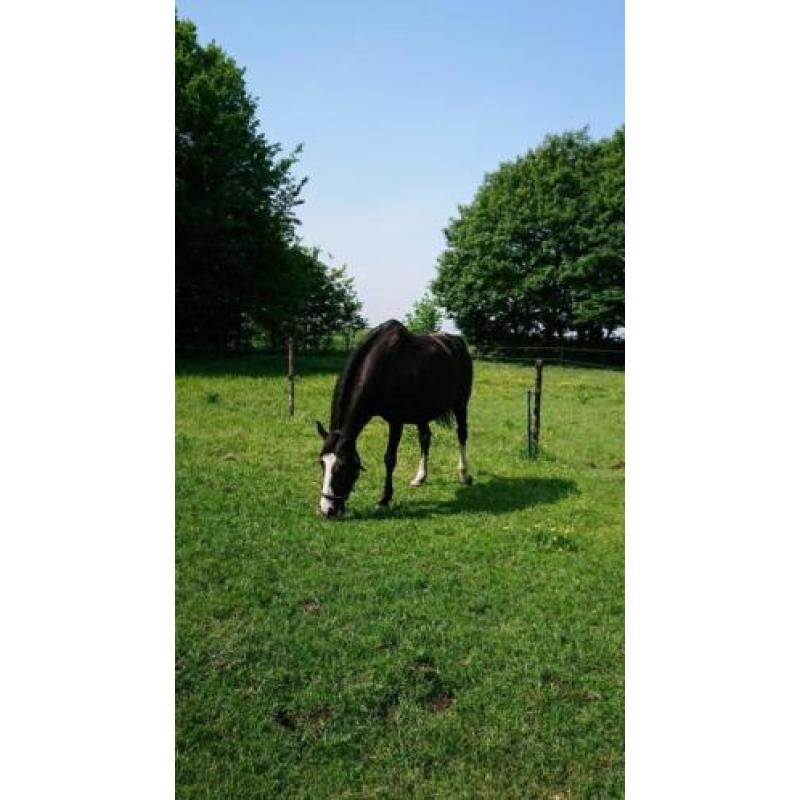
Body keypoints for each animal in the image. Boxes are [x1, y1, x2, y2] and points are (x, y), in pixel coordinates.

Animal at [316, 319, 474, 518]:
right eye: (322, 464)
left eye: (342, 467)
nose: (326, 510)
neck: (382, 367)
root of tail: (458, 342)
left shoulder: (396, 421)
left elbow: (390, 458)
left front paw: (385, 499)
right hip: (422, 412)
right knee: (425, 439)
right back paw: (420, 477)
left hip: (461, 403)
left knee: (462, 434)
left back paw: (464, 474)